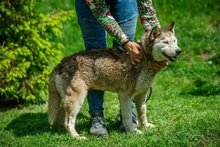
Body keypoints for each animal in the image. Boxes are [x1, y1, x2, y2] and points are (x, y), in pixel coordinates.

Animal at [47, 21, 180, 139]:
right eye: (165, 42)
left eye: (174, 41)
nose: (179, 51)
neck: (145, 58)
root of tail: (60, 63)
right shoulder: (125, 96)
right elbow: (127, 118)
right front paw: (133, 132)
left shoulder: (141, 96)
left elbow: (142, 114)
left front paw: (145, 126)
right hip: (78, 100)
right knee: (68, 122)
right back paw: (77, 137)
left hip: (69, 100)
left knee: (62, 116)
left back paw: (62, 131)